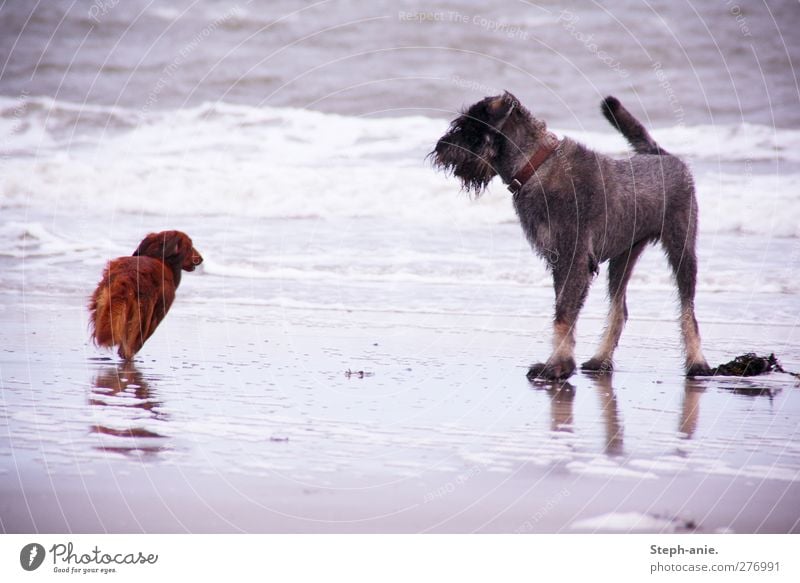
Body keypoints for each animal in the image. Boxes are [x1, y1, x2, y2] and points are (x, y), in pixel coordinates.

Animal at [90, 232, 203, 360]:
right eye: (190, 246)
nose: (201, 259)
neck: (161, 258)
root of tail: (126, 276)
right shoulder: (157, 315)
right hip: (143, 316)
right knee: (128, 348)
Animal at [432, 93, 712, 380]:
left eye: (470, 126)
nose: (440, 147)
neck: (535, 166)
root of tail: (662, 156)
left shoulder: (573, 257)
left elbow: (564, 313)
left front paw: (557, 364)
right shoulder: (560, 259)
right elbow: (563, 310)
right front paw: (559, 363)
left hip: (681, 246)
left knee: (688, 308)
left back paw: (697, 362)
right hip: (623, 257)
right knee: (619, 310)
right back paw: (601, 359)